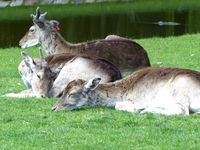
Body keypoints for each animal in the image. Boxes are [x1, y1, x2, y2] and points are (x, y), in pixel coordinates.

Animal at [51, 67, 200, 115]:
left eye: (72, 94)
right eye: (63, 92)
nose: (53, 108)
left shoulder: (138, 99)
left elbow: (118, 105)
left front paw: (138, 109)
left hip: (180, 87)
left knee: (182, 110)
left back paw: (146, 110)